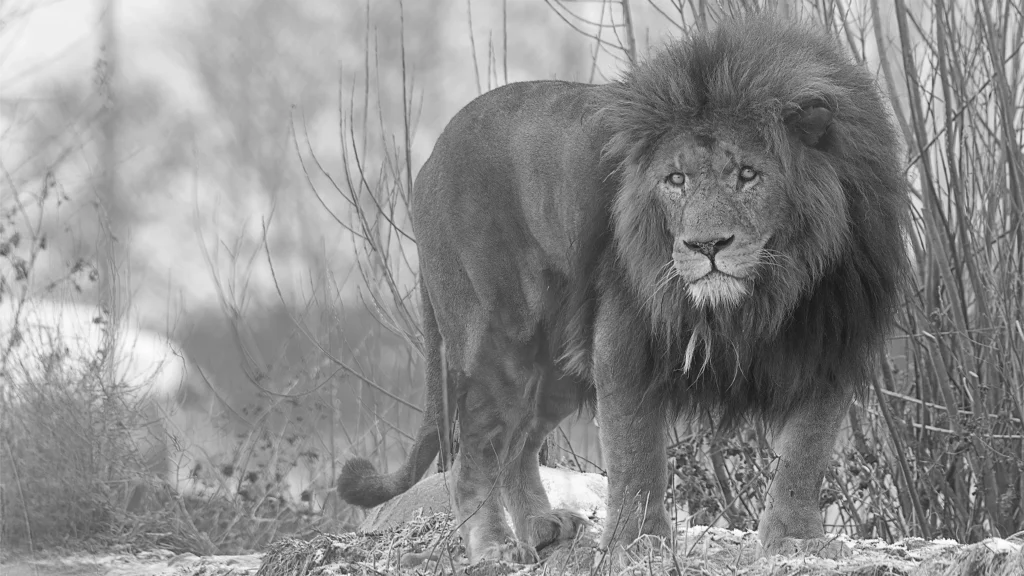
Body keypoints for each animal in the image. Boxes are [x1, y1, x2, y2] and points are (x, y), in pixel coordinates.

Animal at [338, 17, 909, 566]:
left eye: (748, 174)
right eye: (675, 180)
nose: (706, 246)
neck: (765, 293)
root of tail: (429, 160)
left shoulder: (832, 345)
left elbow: (804, 457)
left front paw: (795, 541)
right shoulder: (625, 342)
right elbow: (636, 458)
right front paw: (636, 544)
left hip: (555, 368)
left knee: (518, 447)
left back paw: (542, 527)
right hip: (500, 344)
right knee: (475, 454)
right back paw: (495, 547)